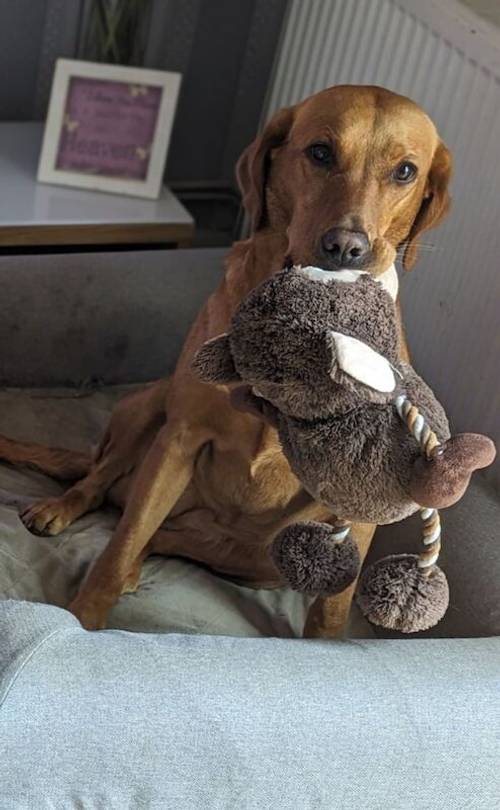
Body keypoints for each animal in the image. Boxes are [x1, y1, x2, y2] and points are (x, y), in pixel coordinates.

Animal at [0, 87, 452, 632]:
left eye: (405, 171)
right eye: (320, 153)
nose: (346, 247)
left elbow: (332, 610)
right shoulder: (178, 440)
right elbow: (118, 544)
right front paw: (85, 621)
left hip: (267, 559)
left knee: (158, 536)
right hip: (146, 407)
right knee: (103, 486)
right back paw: (64, 509)